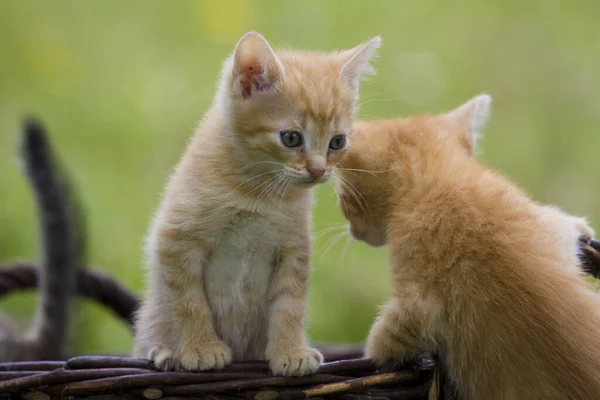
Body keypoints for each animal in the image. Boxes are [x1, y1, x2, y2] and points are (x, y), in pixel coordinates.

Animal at [134, 30, 382, 376]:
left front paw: (290, 351)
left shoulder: (294, 249)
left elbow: (290, 305)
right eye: (290, 138)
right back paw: (165, 352)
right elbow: (188, 301)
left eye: (337, 142)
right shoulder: (176, 237)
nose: (319, 170)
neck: (256, 192)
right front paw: (200, 348)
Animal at [336, 97, 600, 400]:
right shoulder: (543, 225)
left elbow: (387, 334)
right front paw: (581, 228)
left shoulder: (416, 300)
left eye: (343, 200)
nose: (352, 232)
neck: (437, 180)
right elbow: (561, 227)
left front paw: (376, 355)